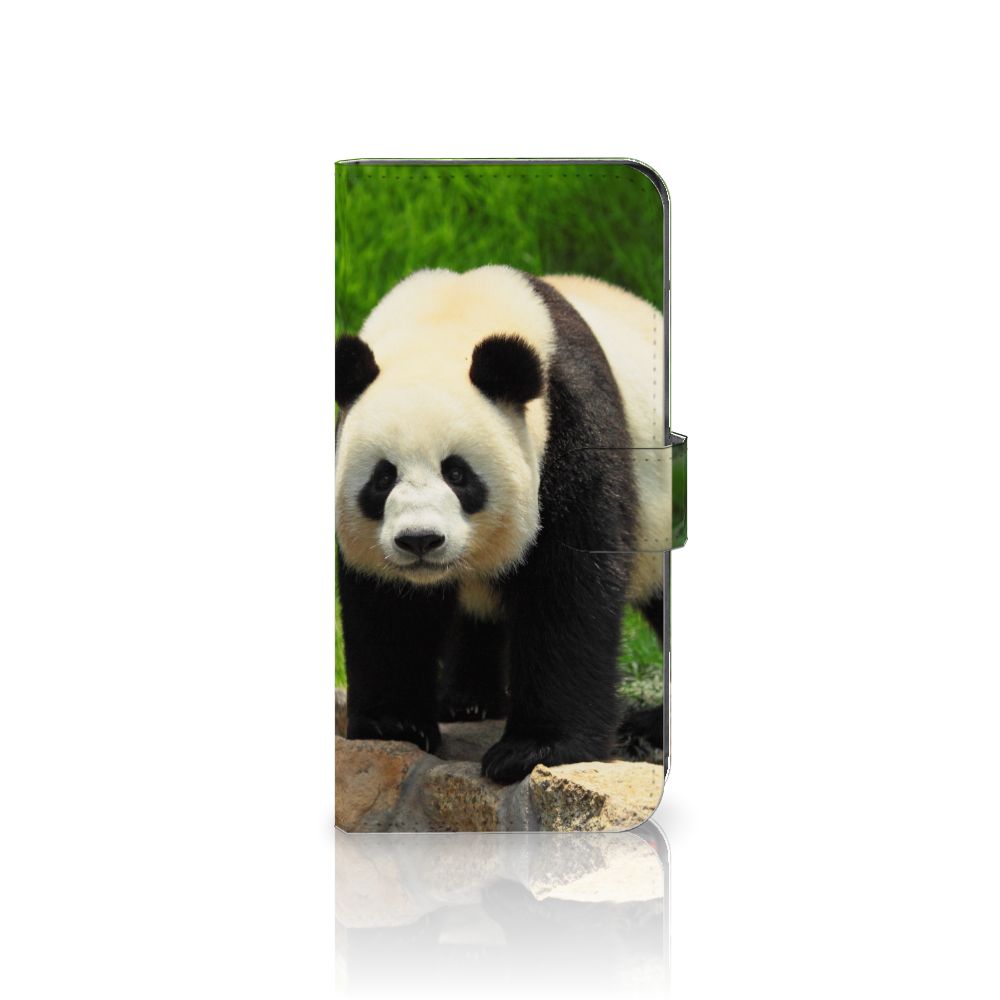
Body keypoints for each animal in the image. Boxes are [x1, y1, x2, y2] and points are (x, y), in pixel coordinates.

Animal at [335, 265, 668, 784]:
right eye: (383, 478)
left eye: (457, 473)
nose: (420, 540)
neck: (447, 319)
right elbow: (387, 605)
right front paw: (394, 725)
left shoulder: (571, 427)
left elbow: (568, 586)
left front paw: (534, 750)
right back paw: (468, 701)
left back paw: (648, 725)